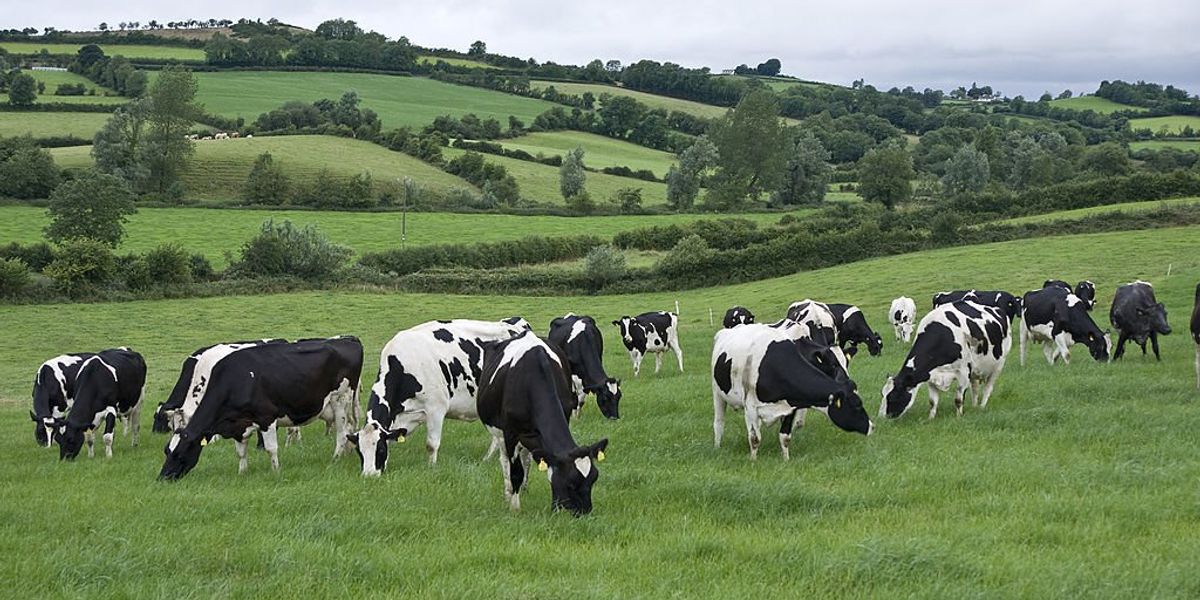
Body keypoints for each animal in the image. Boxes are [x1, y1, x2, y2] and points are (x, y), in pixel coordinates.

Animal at [159, 337, 362, 480]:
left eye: (179, 453)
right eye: (167, 451)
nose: (163, 477)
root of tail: (347, 340)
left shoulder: (267, 418)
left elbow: (271, 449)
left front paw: (275, 471)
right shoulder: (238, 425)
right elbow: (240, 453)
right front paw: (242, 472)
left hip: (340, 401)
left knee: (342, 433)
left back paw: (335, 458)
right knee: (350, 428)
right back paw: (347, 454)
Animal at [347, 319, 529, 476]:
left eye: (380, 449)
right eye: (359, 451)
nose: (369, 476)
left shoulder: (436, 408)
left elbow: (431, 444)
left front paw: (431, 468)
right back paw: (488, 458)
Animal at [477, 330, 608, 515]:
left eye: (593, 479)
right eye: (570, 484)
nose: (585, 512)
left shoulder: (565, 415)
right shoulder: (510, 433)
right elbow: (515, 471)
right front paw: (515, 507)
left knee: (526, 459)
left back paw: (524, 488)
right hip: (500, 433)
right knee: (505, 461)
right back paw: (509, 492)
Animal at [712, 323, 872, 460]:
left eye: (846, 362)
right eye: (857, 404)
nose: (871, 427)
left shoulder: (791, 405)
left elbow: (785, 436)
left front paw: (786, 459)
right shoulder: (750, 406)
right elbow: (755, 438)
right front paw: (753, 460)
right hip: (717, 393)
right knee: (719, 423)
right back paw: (717, 447)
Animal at [881, 301, 1011, 420]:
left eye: (892, 397)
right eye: (882, 394)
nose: (882, 417)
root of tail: (997, 310)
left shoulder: (964, 372)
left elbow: (958, 399)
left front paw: (958, 417)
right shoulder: (930, 375)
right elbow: (932, 401)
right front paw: (931, 418)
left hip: (998, 365)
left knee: (988, 388)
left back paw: (982, 406)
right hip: (975, 368)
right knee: (975, 387)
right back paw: (974, 406)